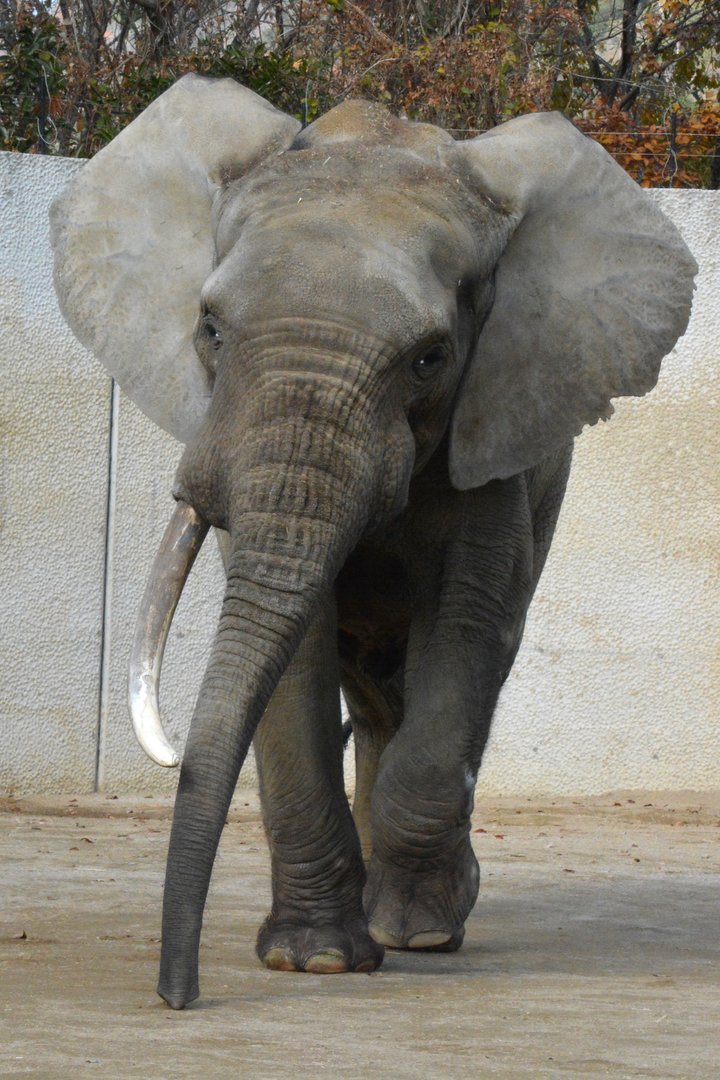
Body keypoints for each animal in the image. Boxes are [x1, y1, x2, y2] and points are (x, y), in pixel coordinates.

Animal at [50, 74, 696, 1009]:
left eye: (430, 358)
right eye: (209, 329)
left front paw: (414, 930)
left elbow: (466, 629)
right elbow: (296, 646)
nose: (178, 994)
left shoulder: (492, 428)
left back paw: (418, 918)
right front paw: (313, 958)